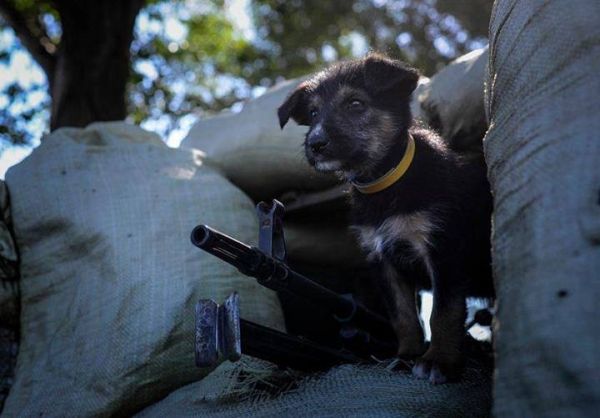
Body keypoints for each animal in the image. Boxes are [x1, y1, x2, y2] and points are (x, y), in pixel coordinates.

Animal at [276, 54, 492, 384]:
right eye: (312, 113)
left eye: (355, 104)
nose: (315, 144)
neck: (384, 183)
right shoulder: (383, 259)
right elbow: (403, 316)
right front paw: (407, 355)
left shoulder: (443, 249)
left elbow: (443, 312)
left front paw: (439, 361)